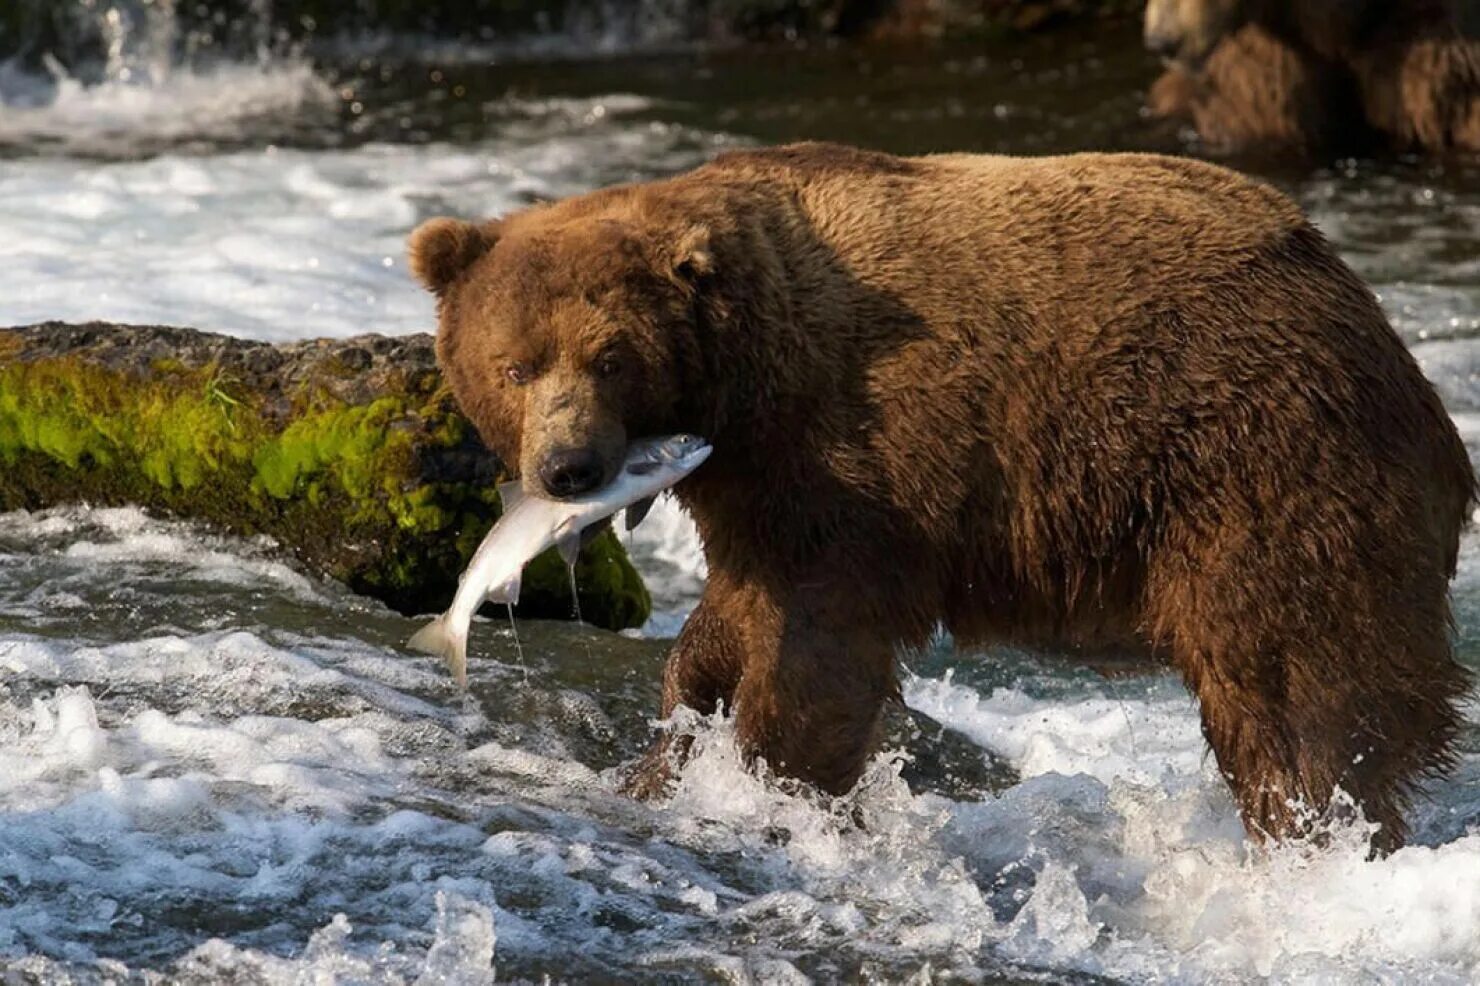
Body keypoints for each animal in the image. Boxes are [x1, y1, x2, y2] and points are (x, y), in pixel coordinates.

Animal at [402, 142, 1468, 846]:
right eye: (514, 364)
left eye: (611, 358)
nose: (567, 470)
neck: (749, 381)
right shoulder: (757, 488)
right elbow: (732, 618)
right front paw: (667, 754)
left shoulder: (857, 455)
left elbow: (817, 641)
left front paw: (768, 782)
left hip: (1259, 466)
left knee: (1296, 680)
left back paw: (1316, 826)